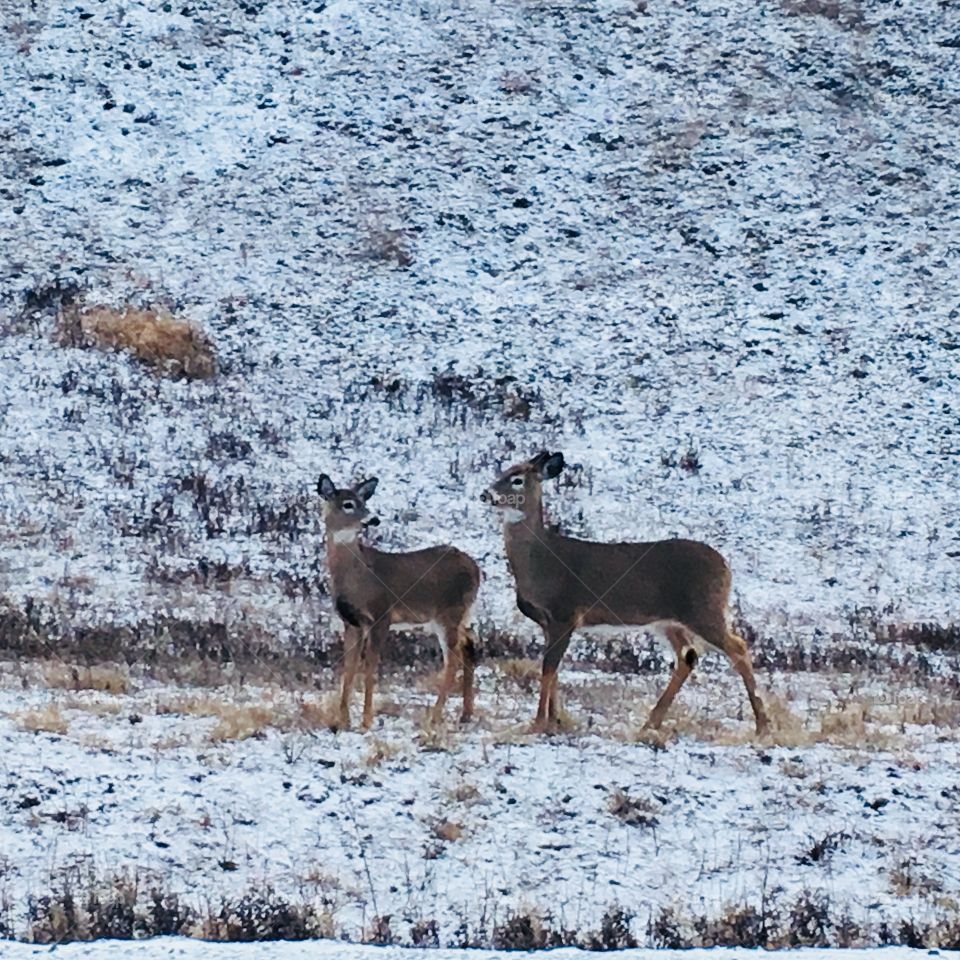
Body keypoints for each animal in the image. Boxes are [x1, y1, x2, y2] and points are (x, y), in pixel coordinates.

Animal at [318, 476, 480, 732]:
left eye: (364, 501)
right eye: (348, 504)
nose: (373, 519)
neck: (358, 577)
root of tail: (476, 568)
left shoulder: (381, 616)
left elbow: (370, 668)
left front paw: (366, 720)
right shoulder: (351, 622)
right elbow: (348, 668)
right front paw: (342, 720)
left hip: (450, 613)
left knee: (452, 659)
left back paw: (435, 715)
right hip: (455, 616)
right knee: (469, 645)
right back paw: (465, 714)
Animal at [484, 452, 768, 736]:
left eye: (517, 479)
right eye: (502, 472)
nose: (485, 494)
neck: (540, 562)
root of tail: (726, 566)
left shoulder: (565, 613)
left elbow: (548, 668)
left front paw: (539, 722)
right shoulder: (547, 622)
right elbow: (553, 669)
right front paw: (554, 719)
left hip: (703, 610)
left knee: (738, 647)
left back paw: (762, 724)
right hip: (668, 621)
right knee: (687, 657)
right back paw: (651, 723)